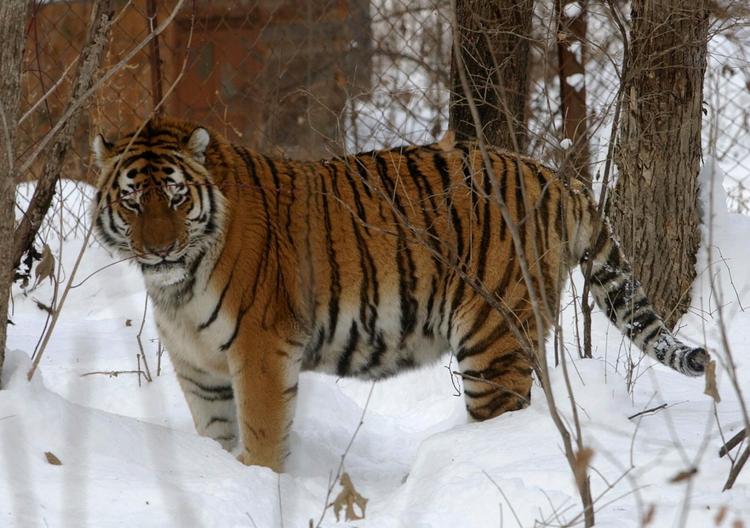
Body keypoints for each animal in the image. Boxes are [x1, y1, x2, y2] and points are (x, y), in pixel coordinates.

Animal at [91, 117, 708, 471]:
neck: (177, 286)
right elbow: (215, 435)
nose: (160, 250)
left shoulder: (260, 351)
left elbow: (262, 438)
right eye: (132, 201)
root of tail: (556, 176)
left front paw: (260, 484)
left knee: (506, 415)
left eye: (175, 198)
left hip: (494, 340)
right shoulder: (198, 366)